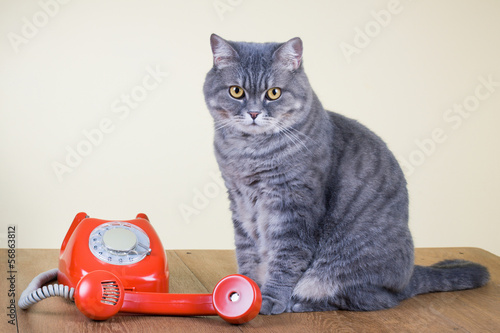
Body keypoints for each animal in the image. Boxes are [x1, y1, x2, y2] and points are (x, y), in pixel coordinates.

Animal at [202, 33, 488, 314]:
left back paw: (302, 302)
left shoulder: (294, 205)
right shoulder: (239, 201)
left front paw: (269, 298)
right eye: (236, 91)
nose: (253, 113)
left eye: (274, 93)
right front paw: (244, 289)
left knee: (369, 297)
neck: (248, 153)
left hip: (347, 268)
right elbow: (247, 251)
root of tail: (408, 279)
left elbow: (286, 256)